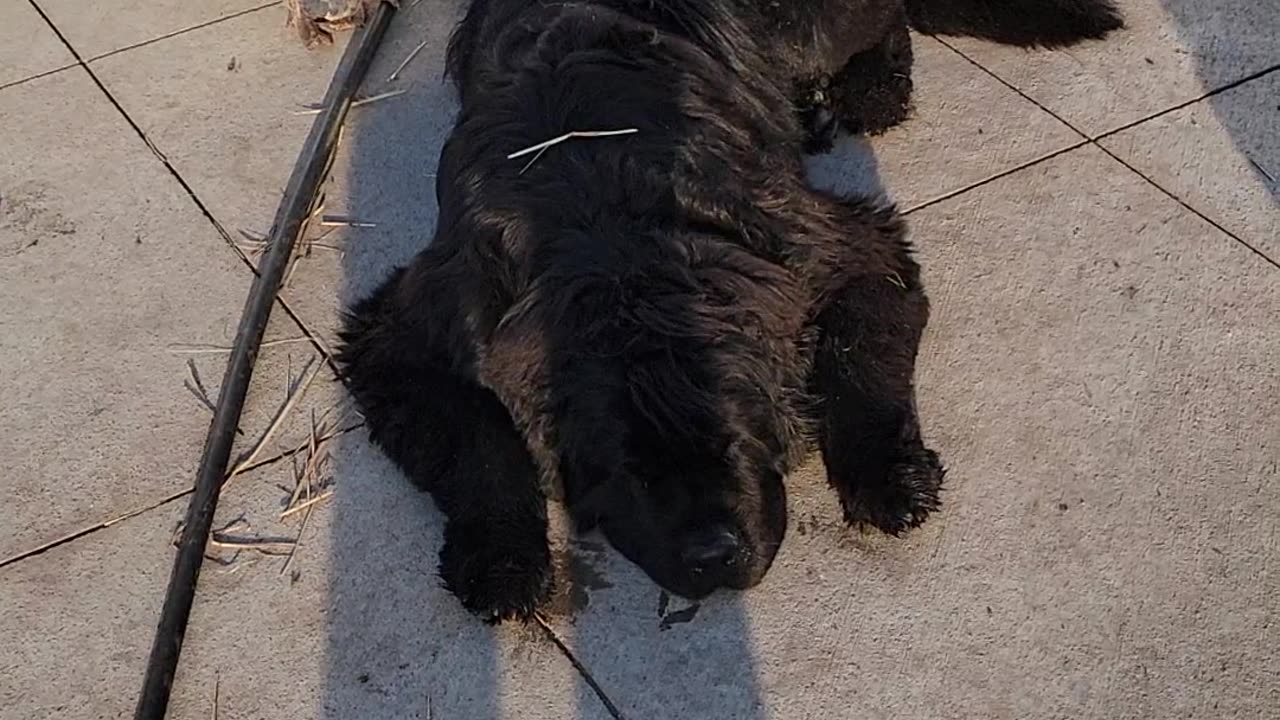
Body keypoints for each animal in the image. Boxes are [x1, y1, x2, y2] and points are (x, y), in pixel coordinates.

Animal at [337, 0, 1121, 617]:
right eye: (630, 473)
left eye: (736, 441)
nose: (713, 553)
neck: (607, 230)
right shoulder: (415, 324)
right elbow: (478, 442)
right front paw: (501, 560)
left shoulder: (834, 247)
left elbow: (858, 358)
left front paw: (887, 475)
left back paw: (868, 92)